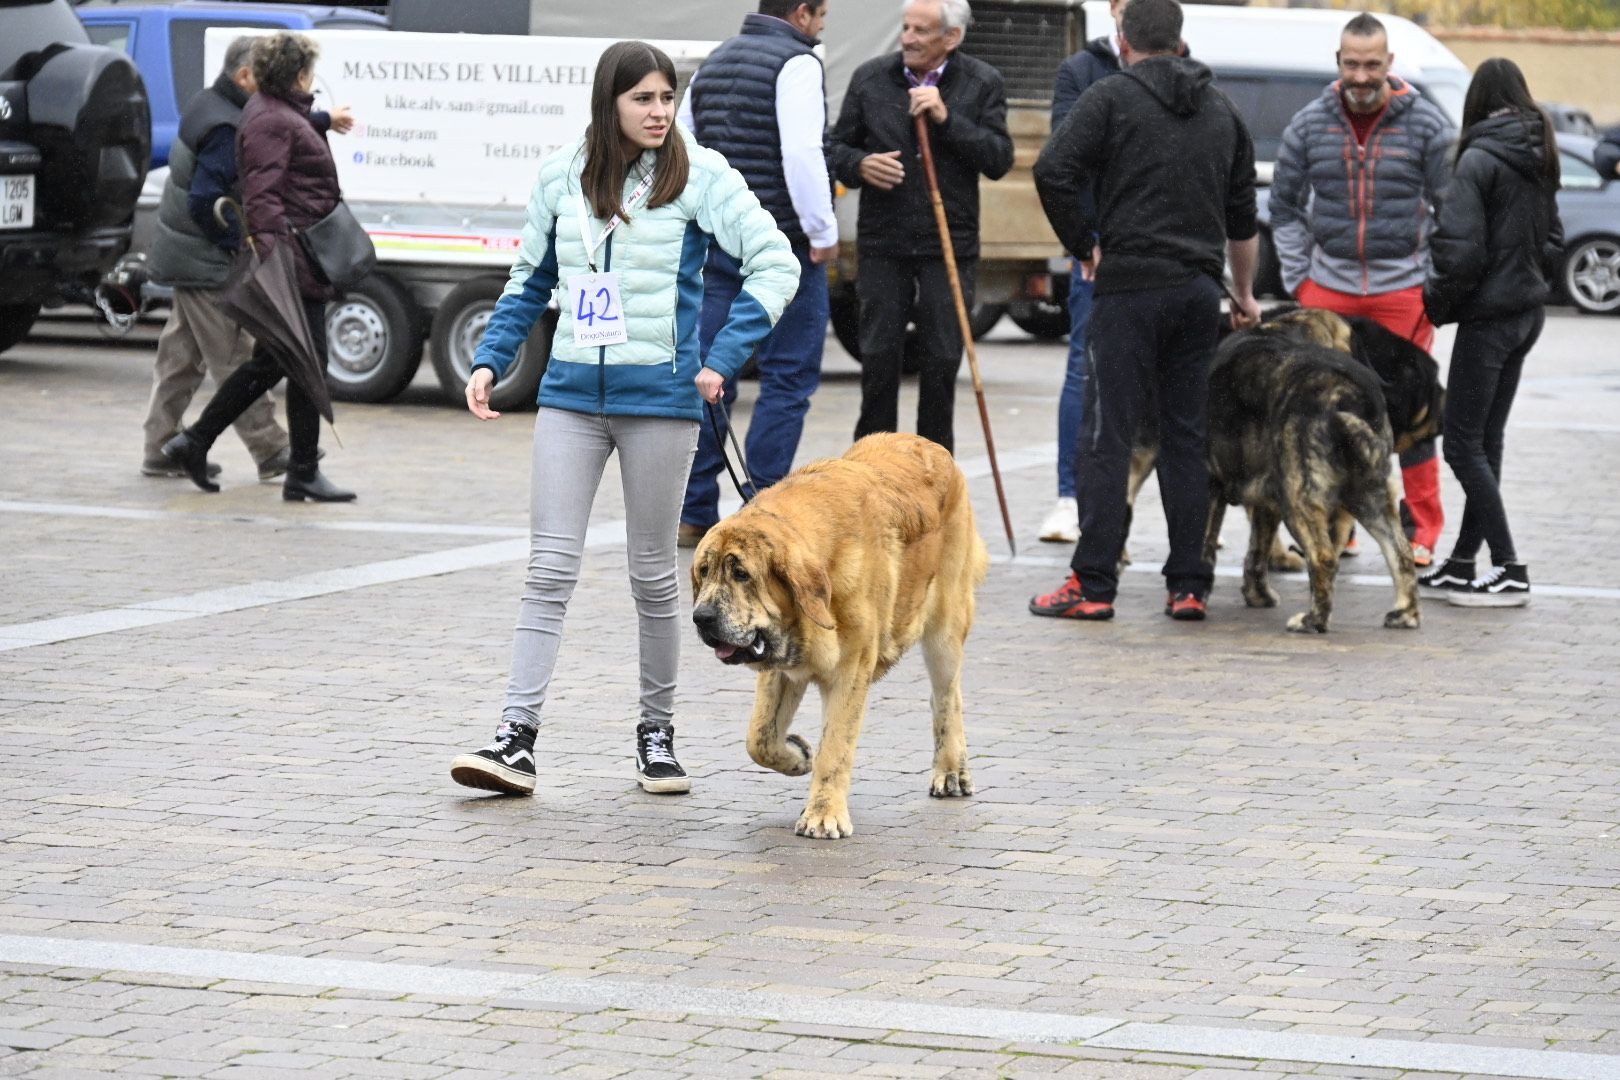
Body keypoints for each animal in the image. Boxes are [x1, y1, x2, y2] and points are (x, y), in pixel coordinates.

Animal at [686, 433, 984, 841]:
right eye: (704, 571)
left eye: (741, 574)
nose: (701, 618)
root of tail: (931, 445)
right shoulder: (780, 670)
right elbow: (759, 739)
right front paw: (797, 756)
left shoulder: (850, 670)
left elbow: (835, 748)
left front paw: (823, 815)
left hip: (945, 628)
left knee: (947, 696)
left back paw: (951, 769)